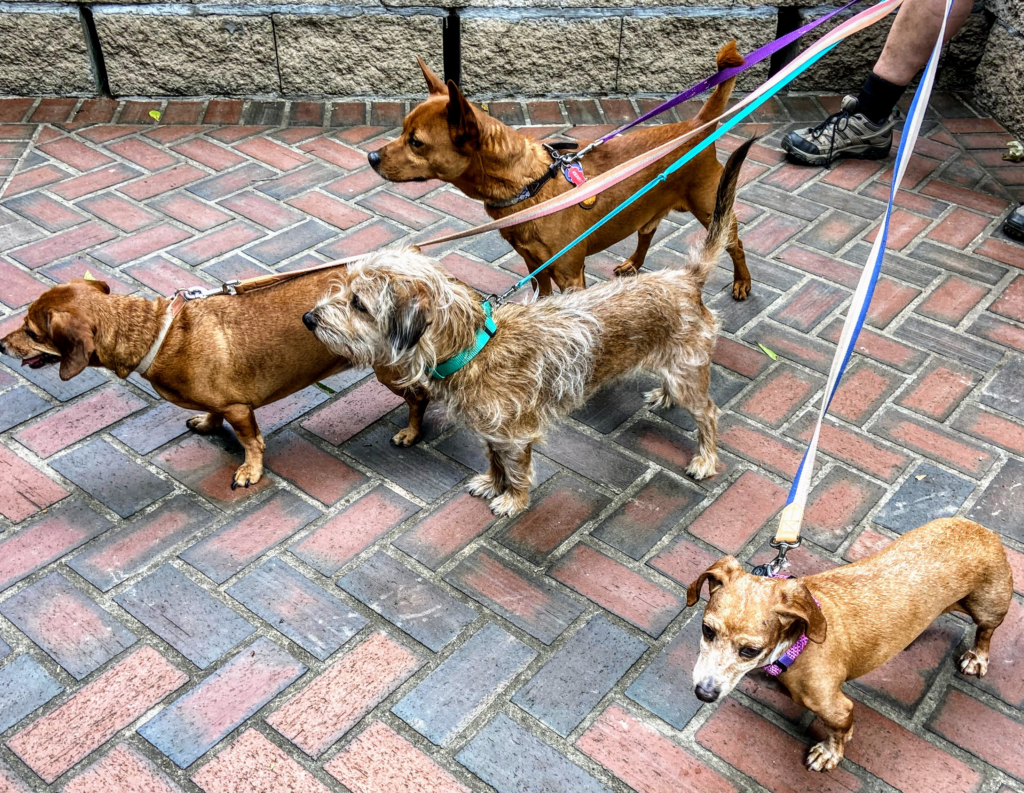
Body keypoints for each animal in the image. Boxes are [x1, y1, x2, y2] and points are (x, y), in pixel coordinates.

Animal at [0, 274, 423, 489]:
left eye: (32, 331)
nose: (1, 344)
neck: (160, 334)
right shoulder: (221, 402)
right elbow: (213, 414)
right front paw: (206, 423)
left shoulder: (240, 409)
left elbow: (252, 443)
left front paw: (250, 471)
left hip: (392, 372)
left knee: (419, 399)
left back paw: (412, 433)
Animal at [368, 42, 753, 299]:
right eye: (402, 130)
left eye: (416, 142)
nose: (371, 157)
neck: (532, 187)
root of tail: (699, 123)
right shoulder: (535, 267)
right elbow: (543, 298)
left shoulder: (570, 276)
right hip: (651, 205)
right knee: (647, 230)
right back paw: (633, 263)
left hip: (710, 206)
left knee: (734, 244)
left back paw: (742, 282)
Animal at [684, 518, 1011, 774]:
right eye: (707, 630)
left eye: (749, 651)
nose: (704, 694)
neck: (796, 646)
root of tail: (985, 531)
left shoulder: (838, 708)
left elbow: (838, 733)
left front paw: (830, 753)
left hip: (988, 608)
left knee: (986, 632)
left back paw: (977, 657)